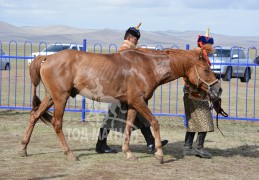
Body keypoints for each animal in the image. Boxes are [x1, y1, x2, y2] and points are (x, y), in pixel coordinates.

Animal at [18, 44, 222, 164]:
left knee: (34, 115)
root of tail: (46, 58)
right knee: (56, 123)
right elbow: (154, 122)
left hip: (51, 97)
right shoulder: (139, 101)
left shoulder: (131, 104)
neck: (147, 66)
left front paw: (128, 152)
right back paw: (69, 153)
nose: (218, 90)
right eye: (206, 69)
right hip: (61, 98)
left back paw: (23, 148)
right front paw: (159, 154)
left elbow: (129, 126)